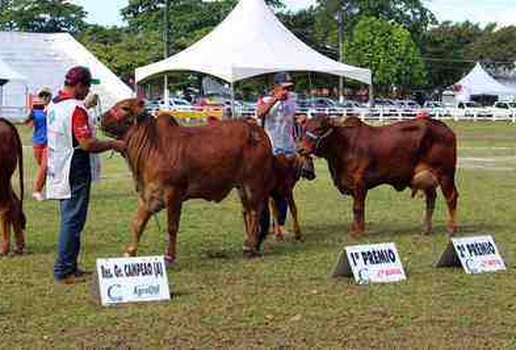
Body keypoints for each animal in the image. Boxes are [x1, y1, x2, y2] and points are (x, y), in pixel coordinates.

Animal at [102, 98, 276, 262]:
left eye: (124, 107)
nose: (100, 118)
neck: (153, 146)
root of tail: (257, 131)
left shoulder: (174, 194)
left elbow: (172, 226)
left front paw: (169, 256)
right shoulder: (149, 195)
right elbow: (138, 223)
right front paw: (129, 252)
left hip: (253, 183)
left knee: (255, 212)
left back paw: (250, 248)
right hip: (241, 187)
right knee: (247, 212)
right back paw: (247, 245)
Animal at [298, 115, 460, 238]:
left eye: (320, 128)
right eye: (304, 129)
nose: (301, 149)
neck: (344, 146)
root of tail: (443, 126)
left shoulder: (359, 183)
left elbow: (357, 208)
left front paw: (357, 232)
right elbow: (358, 208)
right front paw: (356, 229)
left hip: (445, 174)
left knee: (451, 197)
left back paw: (451, 229)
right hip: (428, 178)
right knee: (431, 199)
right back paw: (425, 229)